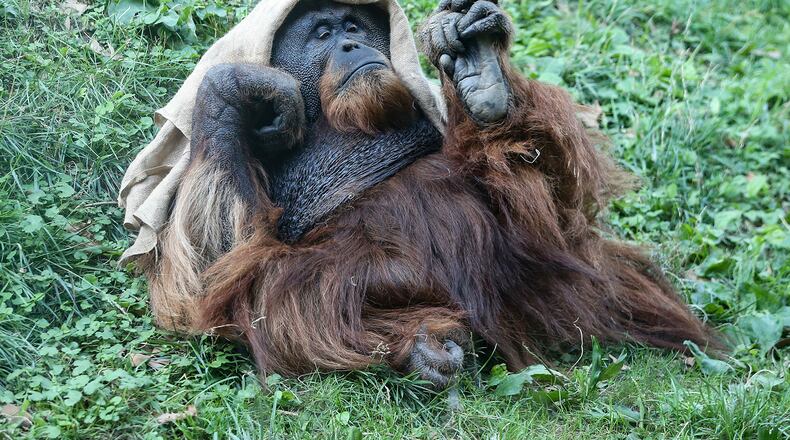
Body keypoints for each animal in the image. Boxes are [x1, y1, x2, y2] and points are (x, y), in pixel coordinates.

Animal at [146, 0, 719, 388]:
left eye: (353, 26)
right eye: (323, 33)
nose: (352, 44)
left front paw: (467, 58)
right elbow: (209, 283)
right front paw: (236, 90)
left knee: (546, 208)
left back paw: (485, 82)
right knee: (282, 292)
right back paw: (425, 346)